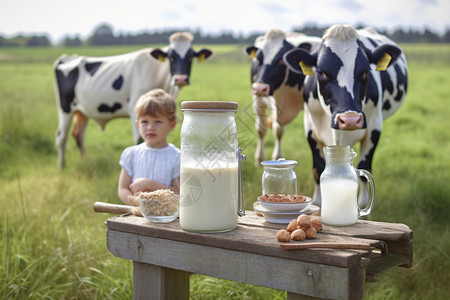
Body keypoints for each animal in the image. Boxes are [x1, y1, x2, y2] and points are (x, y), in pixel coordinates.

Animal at [54, 33, 213, 169]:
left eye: (190, 57)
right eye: (171, 57)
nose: (180, 79)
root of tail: (68, 57)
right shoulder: (135, 108)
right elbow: (139, 140)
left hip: (82, 111)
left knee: (78, 135)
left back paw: (86, 161)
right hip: (65, 108)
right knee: (61, 137)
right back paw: (62, 167)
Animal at [246, 29, 320, 165]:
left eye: (281, 60)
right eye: (258, 59)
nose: (260, 88)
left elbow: (278, 130)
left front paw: (277, 156)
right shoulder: (258, 99)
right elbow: (261, 129)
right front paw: (259, 158)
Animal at [284, 25, 408, 206]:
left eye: (365, 72)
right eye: (321, 73)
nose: (350, 120)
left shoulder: (374, 128)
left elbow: (364, 169)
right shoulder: (310, 128)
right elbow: (318, 169)